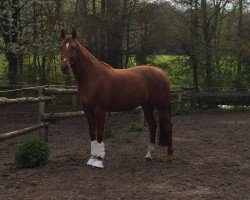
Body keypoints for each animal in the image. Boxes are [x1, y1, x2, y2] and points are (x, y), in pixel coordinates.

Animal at [59, 28, 172, 168]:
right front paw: (92, 158)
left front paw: (99, 160)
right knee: (152, 125)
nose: (64, 67)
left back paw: (168, 156)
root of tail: (162, 73)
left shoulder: (100, 110)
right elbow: (92, 134)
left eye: (74, 47)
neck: (91, 77)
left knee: (167, 126)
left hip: (162, 105)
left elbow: (100, 133)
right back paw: (149, 155)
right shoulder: (87, 111)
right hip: (147, 106)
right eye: (60, 47)